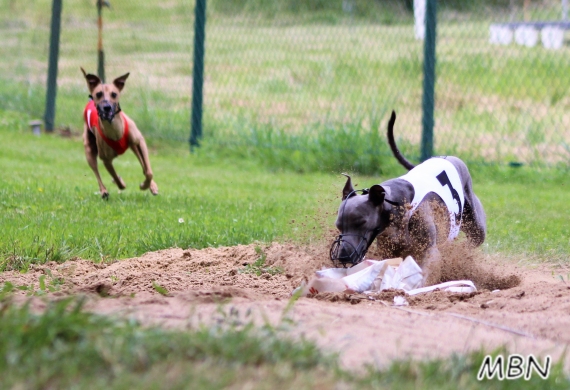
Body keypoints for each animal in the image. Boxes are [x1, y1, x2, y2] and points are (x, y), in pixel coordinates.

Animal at [79, 67, 156, 200]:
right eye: (98, 94)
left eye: (114, 94)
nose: (107, 107)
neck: (114, 129)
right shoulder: (106, 159)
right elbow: (115, 176)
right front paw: (120, 182)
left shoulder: (139, 142)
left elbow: (148, 171)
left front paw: (145, 185)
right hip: (89, 149)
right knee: (96, 171)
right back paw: (104, 191)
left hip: (134, 147)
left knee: (144, 166)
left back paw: (152, 186)